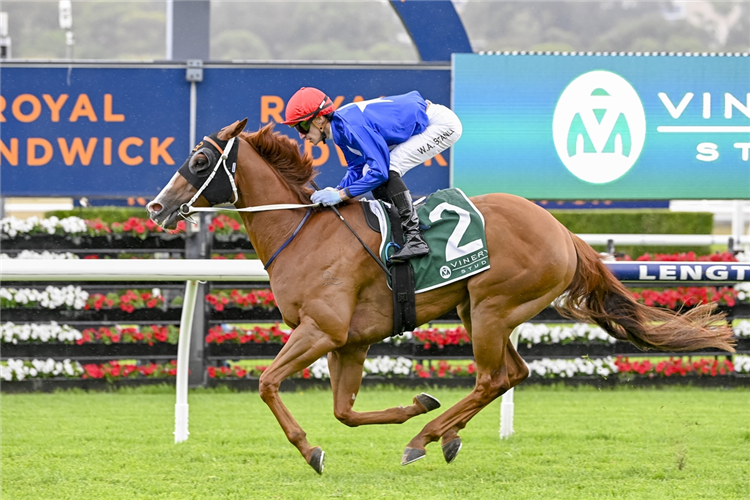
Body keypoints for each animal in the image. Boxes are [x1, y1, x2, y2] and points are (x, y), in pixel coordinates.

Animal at [147, 119, 735, 474]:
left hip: (494, 306)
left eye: (199, 162)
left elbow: (268, 383)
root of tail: (563, 232)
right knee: (513, 373)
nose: (156, 207)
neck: (304, 230)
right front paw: (413, 404)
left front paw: (311, 450)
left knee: (492, 377)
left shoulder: (323, 329)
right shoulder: (349, 342)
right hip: (476, 310)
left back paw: (426, 438)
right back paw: (443, 432)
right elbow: (345, 412)